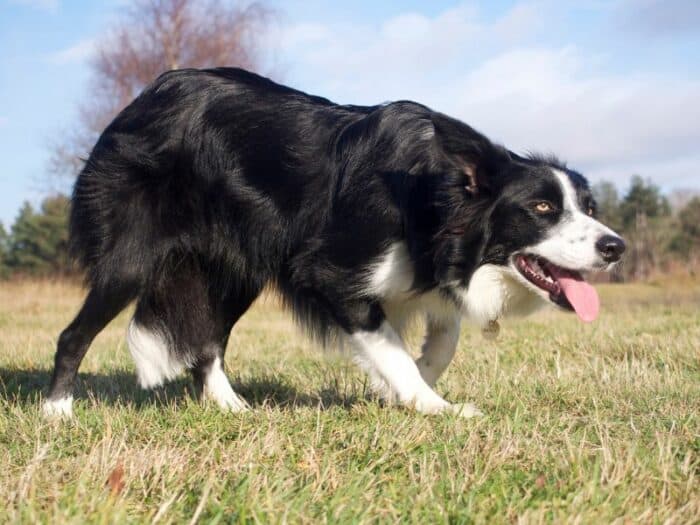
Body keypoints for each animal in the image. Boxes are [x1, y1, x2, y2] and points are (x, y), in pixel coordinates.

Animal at [42, 67, 624, 418]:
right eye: (542, 209)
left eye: (589, 209)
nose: (615, 247)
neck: (432, 199)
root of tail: (141, 100)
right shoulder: (329, 273)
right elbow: (391, 347)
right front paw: (433, 405)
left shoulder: (430, 270)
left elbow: (444, 336)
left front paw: (406, 386)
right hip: (132, 259)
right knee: (74, 334)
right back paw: (57, 412)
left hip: (237, 268)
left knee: (207, 342)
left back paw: (231, 407)